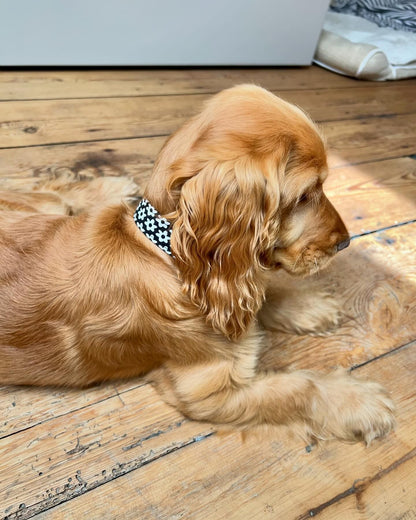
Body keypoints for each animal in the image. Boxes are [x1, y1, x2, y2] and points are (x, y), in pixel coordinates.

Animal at [0, 84, 394, 442]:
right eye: (305, 195)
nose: (345, 242)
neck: (163, 251)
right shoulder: (207, 390)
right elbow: (299, 389)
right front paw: (358, 402)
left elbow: (259, 295)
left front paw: (308, 306)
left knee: (53, 194)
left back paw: (108, 189)